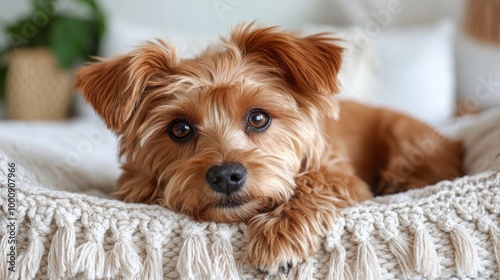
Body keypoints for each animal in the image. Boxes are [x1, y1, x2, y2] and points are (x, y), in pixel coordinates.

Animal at [74, 23, 460, 274]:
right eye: (179, 128)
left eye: (258, 118)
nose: (226, 175)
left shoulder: (343, 176)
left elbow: (312, 182)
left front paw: (280, 234)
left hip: (405, 139)